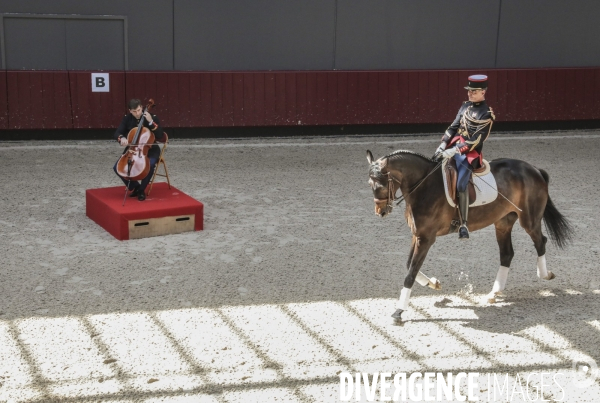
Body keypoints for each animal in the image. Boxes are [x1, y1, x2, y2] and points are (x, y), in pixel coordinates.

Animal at [368, 150, 576, 324]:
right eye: (370, 185)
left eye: (381, 184)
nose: (380, 212)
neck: (423, 185)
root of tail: (534, 169)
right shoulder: (417, 235)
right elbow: (409, 266)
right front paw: (434, 284)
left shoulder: (426, 238)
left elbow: (410, 273)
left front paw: (398, 311)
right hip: (503, 222)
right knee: (507, 254)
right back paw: (494, 292)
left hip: (529, 220)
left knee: (540, 242)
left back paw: (545, 274)